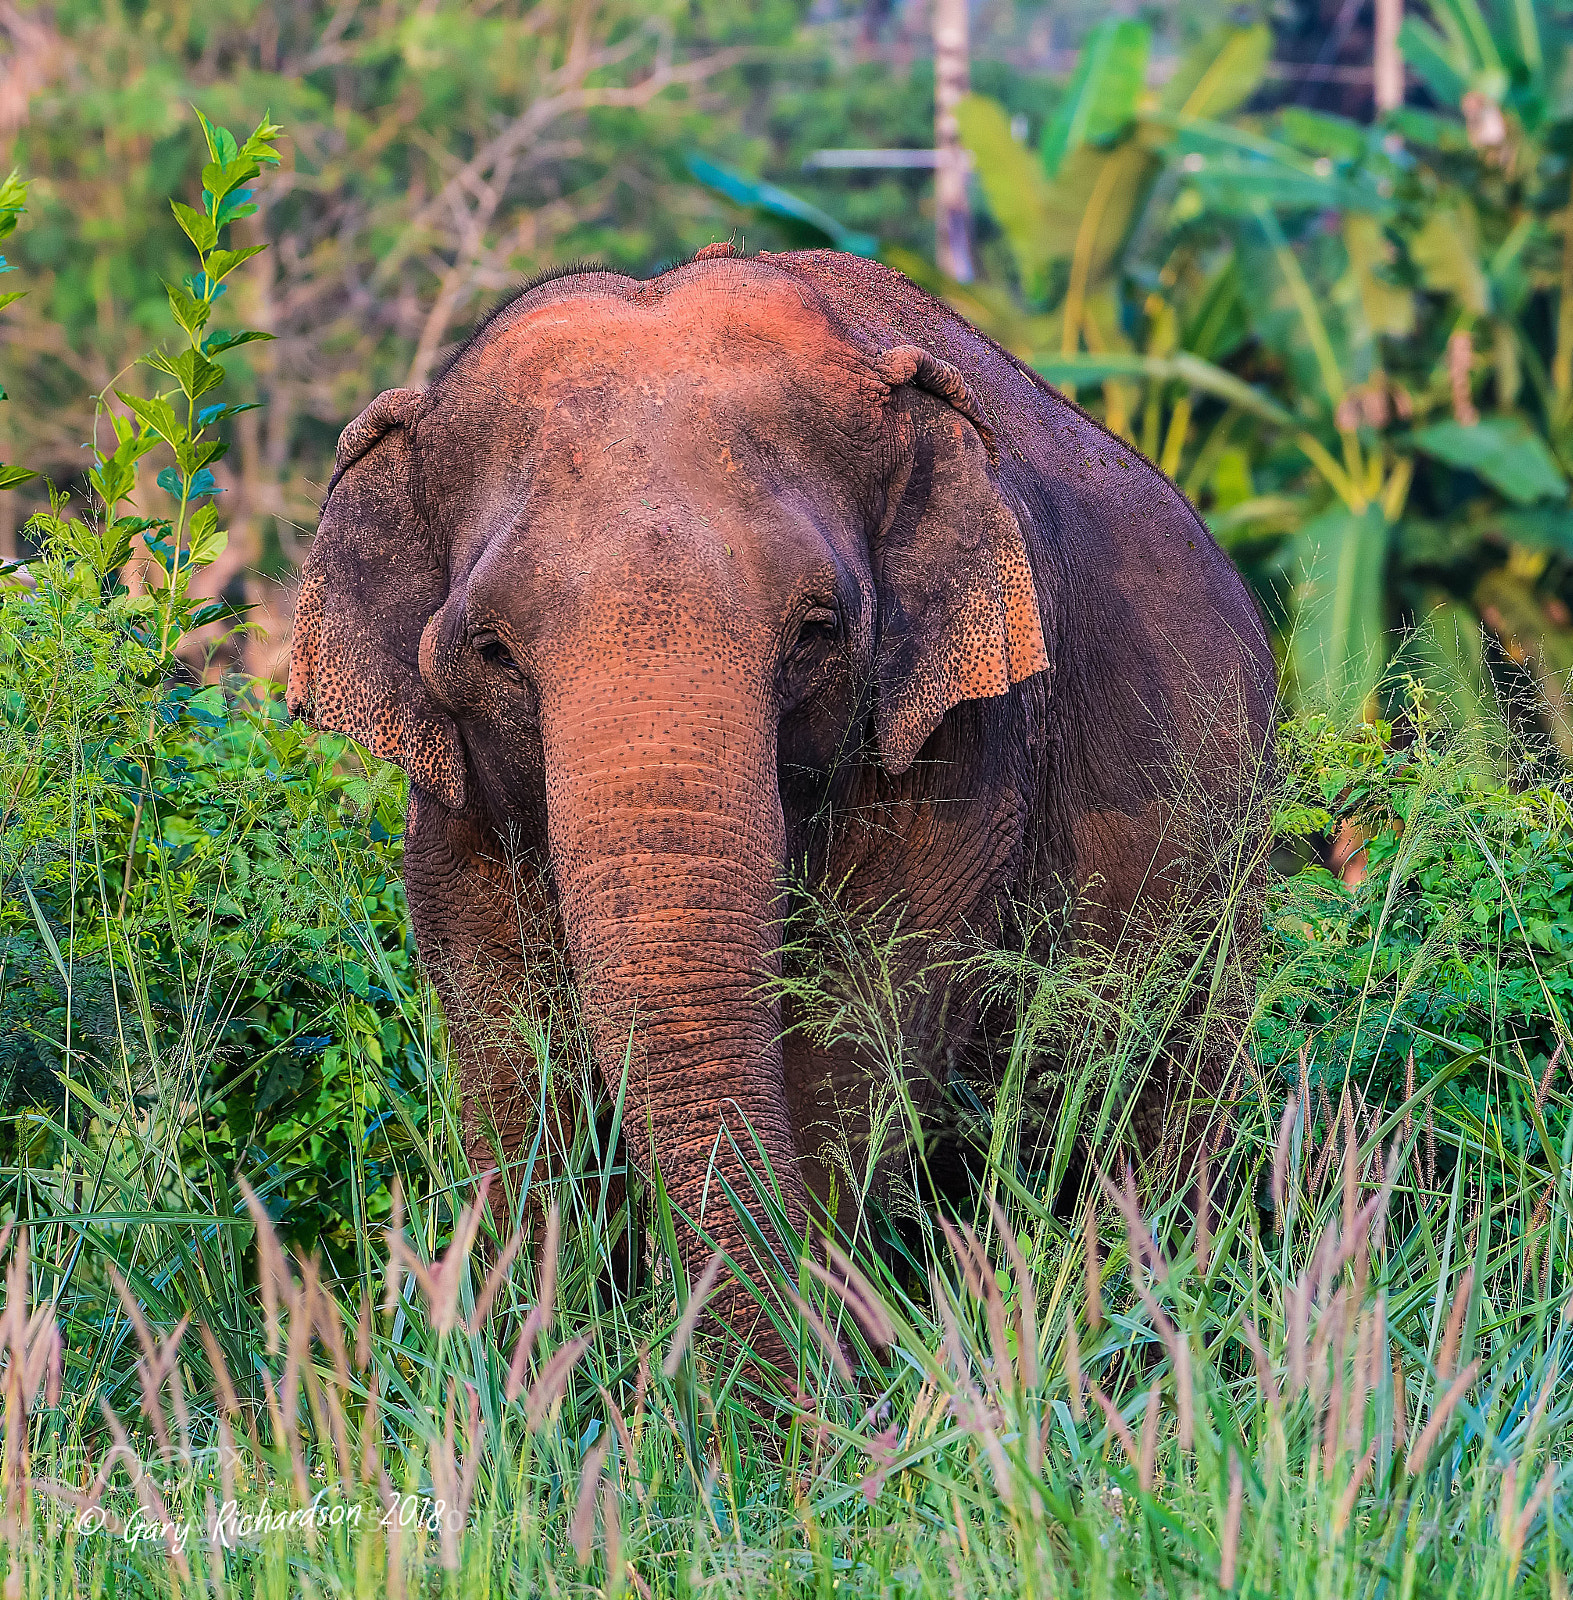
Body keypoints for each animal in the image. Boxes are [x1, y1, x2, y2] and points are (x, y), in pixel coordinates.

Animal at [287, 245, 1276, 1296]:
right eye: (493, 652)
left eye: (814, 631)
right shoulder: (457, 799)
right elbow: (501, 1019)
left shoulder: (965, 744)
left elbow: (860, 1010)